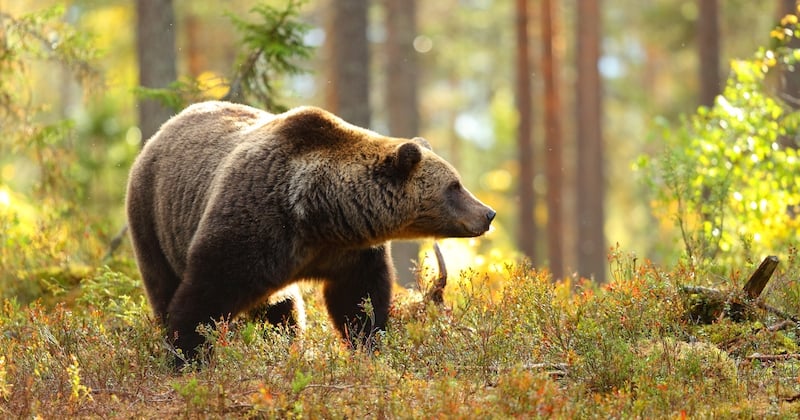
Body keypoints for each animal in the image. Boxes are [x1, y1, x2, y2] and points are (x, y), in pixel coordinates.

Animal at [126, 100, 494, 362]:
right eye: (454, 186)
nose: (487, 214)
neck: (319, 214)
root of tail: (161, 131)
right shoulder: (253, 224)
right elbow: (206, 291)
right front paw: (187, 352)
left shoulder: (348, 252)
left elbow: (358, 300)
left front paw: (369, 344)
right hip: (153, 219)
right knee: (162, 283)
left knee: (281, 309)